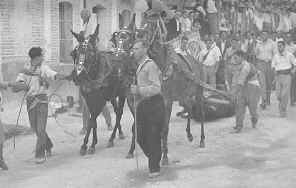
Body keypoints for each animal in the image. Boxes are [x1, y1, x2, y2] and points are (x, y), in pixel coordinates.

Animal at [70, 24, 136, 154]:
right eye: (76, 52)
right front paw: (89, 143)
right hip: (112, 96)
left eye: (90, 53)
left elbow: (92, 119)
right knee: (116, 111)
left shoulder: (101, 100)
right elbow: (93, 120)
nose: (78, 75)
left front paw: (89, 145)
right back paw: (117, 134)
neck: (94, 75)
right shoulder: (89, 98)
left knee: (119, 113)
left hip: (123, 93)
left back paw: (112, 138)